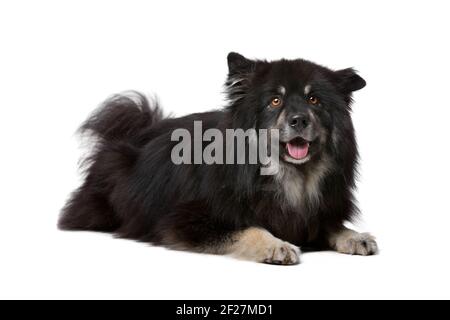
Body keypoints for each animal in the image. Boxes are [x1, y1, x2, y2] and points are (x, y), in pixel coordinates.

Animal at [59, 53, 376, 264]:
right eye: (275, 101)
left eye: (314, 100)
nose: (299, 120)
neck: (287, 177)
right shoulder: (184, 221)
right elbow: (250, 229)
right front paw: (276, 245)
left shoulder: (313, 216)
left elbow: (332, 226)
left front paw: (354, 236)